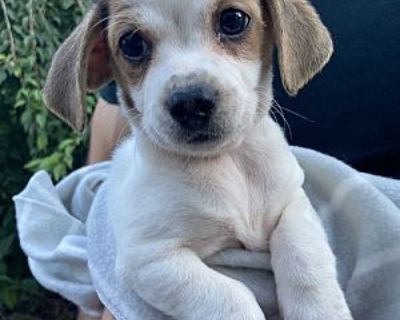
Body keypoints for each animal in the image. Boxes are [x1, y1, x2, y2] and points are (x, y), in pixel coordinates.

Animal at [44, 0, 354, 320]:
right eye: (131, 43)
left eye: (233, 20)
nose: (190, 102)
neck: (227, 162)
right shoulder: (150, 257)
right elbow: (230, 297)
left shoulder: (292, 204)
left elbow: (304, 257)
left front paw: (320, 310)